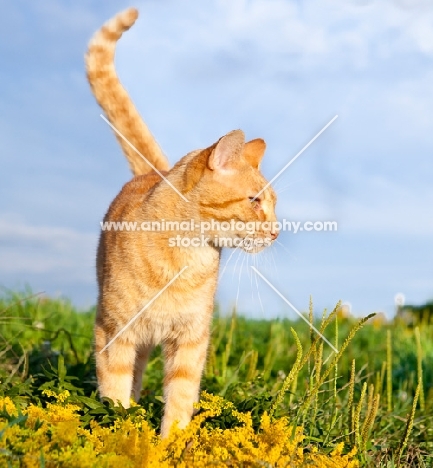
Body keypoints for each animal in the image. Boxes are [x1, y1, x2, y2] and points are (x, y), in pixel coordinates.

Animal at [86, 8, 278, 438]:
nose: (276, 231)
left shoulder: (191, 340)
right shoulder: (114, 332)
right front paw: (123, 436)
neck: (187, 259)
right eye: (254, 201)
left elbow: (180, 397)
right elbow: (115, 392)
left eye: (273, 204)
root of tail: (151, 172)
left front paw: (169, 443)